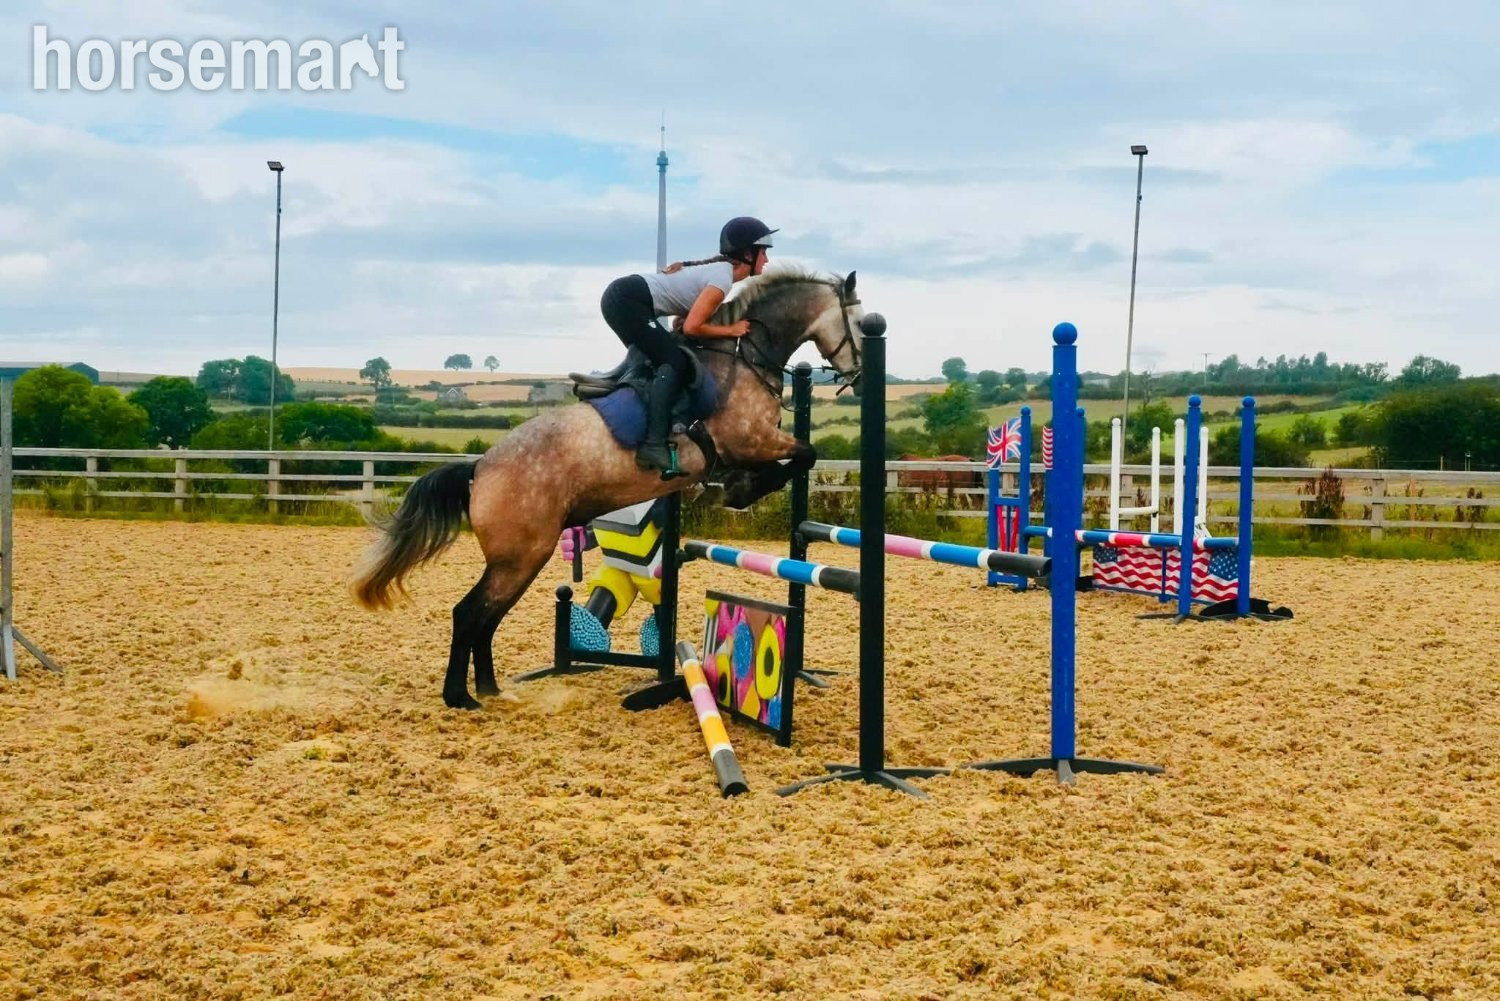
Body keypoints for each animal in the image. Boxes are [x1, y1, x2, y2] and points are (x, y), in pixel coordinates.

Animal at [351, 269, 867, 709]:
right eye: (865, 324)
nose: (858, 379)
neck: (744, 356)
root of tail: (480, 468)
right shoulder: (749, 440)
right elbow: (804, 455)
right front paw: (737, 491)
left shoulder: (754, 443)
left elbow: (799, 457)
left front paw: (734, 488)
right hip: (521, 555)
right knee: (470, 613)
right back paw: (461, 697)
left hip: (519, 558)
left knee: (487, 618)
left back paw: (492, 689)